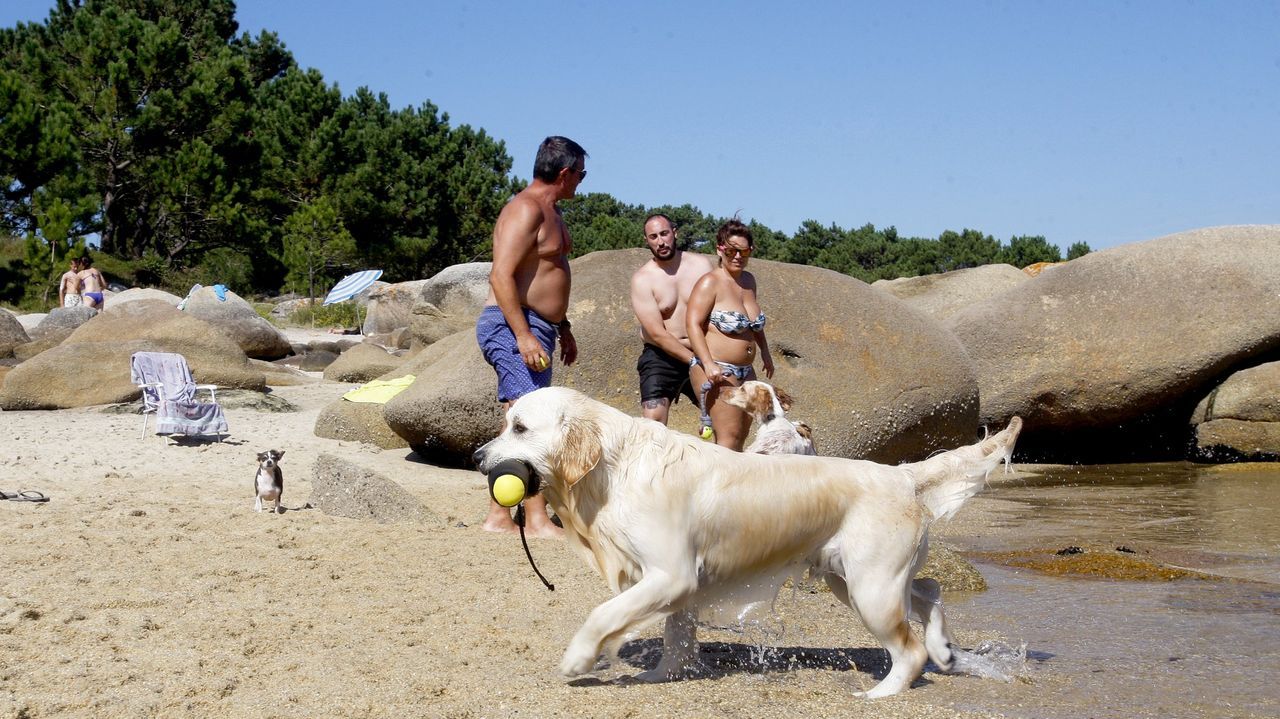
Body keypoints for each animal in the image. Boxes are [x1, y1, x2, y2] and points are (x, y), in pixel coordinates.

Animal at [471, 386, 1018, 695]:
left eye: (520, 427)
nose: (477, 457)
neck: (616, 466)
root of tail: (901, 474)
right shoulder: (677, 582)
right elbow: (676, 633)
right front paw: (662, 675)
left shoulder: (671, 574)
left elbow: (603, 615)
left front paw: (578, 659)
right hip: (851, 578)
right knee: (930, 591)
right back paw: (944, 648)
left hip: (871, 588)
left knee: (909, 648)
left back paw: (882, 693)